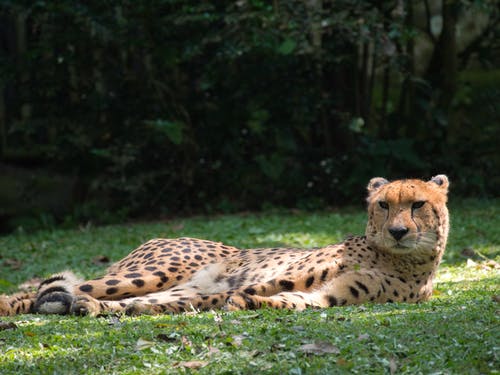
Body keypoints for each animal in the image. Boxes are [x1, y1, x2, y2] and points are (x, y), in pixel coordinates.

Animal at [0, 176, 450, 318]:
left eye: (417, 204)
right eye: (383, 204)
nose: (398, 231)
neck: (398, 259)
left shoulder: (329, 296)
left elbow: (293, 301)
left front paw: (252, 304)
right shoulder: (289, 275)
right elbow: (255, 289)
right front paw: (244, 300)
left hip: (171, 288)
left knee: (120, 302)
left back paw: (95, 308)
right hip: (153, 272)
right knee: (35, 292)